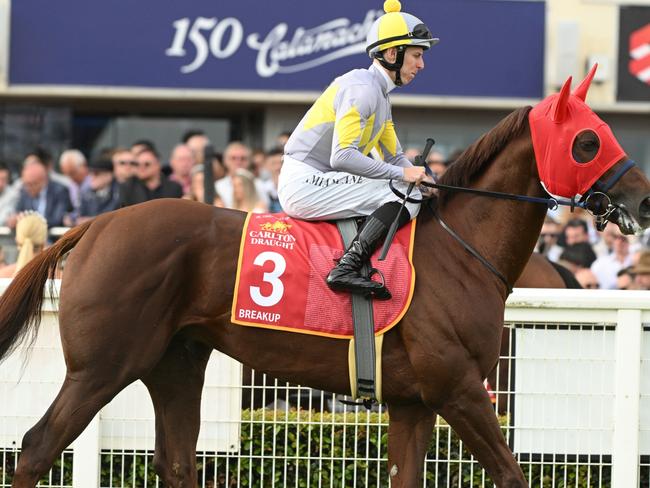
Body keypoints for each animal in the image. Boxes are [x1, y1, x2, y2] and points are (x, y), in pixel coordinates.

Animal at [1, 85, 648, 488]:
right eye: (588, 141)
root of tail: (95, 224)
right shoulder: (459, 389)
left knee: (178, 463)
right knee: (36, 446)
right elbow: (512, 473)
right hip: (103, 366)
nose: (643, 199)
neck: (463, 250)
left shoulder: (413, 401)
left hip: (176, 362)